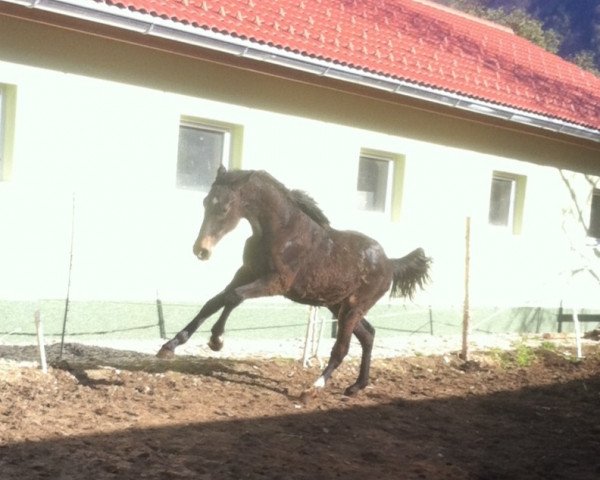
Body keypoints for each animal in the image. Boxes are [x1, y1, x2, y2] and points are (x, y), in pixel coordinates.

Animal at [158, 166, 432, 398]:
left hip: (353, 307)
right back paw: (356, 387)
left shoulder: (276, 282)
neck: (281, 232)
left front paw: (217, 340)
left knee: (342, 347)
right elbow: (214, 302)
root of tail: (390, 263)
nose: (201, 250)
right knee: (368, 335)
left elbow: (234, 297)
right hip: (338, 306)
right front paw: (169, 346)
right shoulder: (245, 272)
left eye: (225, 208)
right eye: (205, 202)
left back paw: (314, 387)